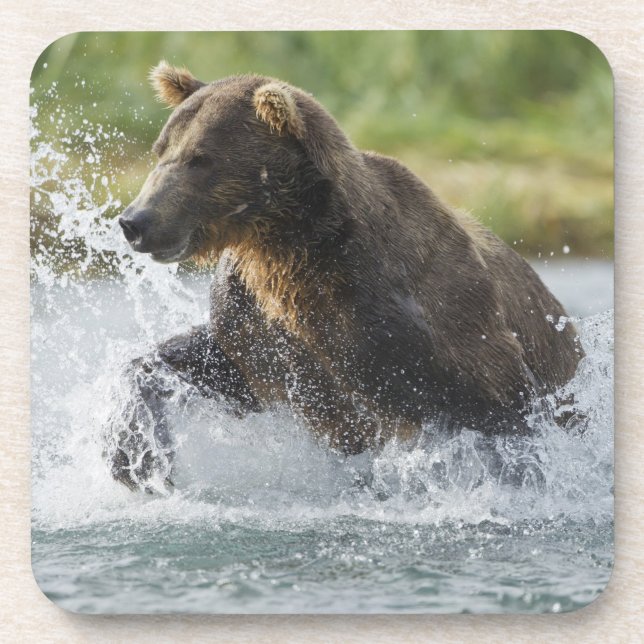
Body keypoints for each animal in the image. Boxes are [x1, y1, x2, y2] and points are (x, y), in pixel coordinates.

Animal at [107, 61, 583, 491]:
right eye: (160, 149)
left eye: (200, 159)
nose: (135, 221)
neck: (292, 247)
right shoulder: (260, 325)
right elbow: (208, 362)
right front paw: (137, 456)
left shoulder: (419, 322)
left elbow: (499, 407)